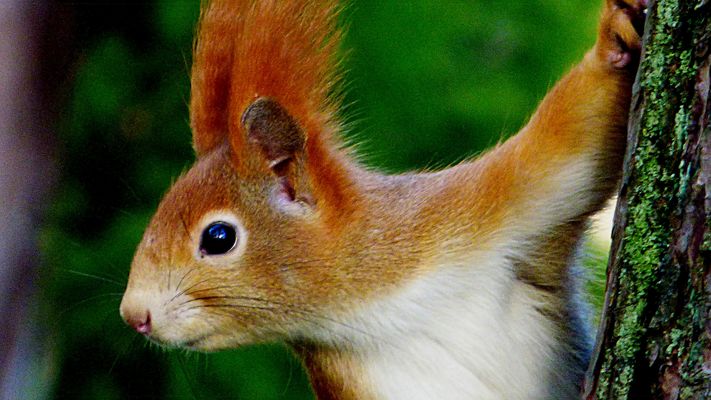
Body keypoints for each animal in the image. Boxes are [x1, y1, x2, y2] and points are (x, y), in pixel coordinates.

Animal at [119, 0, 647, 399]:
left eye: (218, 237)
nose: (134, 316)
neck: (368, 309)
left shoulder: (483, 206)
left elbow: (572, 142)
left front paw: (615, 38)